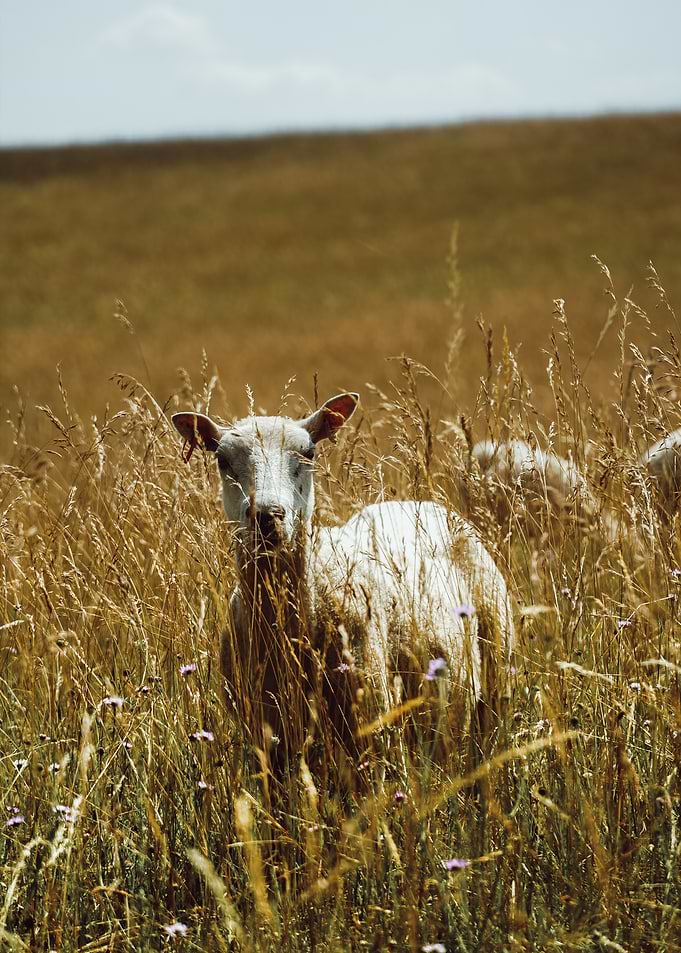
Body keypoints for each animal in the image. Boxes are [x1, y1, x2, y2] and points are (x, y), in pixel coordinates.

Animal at [172, 393, 514, 773]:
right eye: (222, 459)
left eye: (308, 453)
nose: (268, 516)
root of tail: (423, 503)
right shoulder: (266, 740)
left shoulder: (368, 728)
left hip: (496, 676)